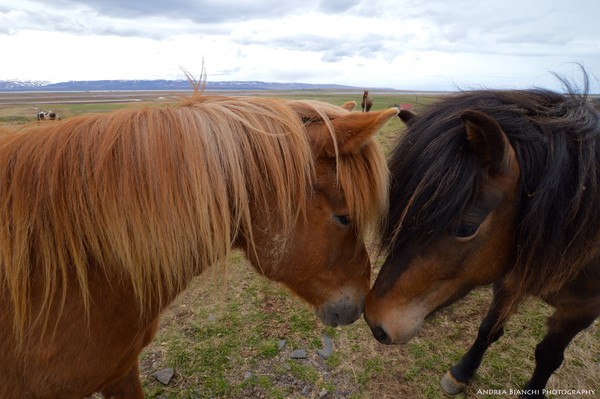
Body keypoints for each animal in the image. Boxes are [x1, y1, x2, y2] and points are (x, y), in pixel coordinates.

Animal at [364, 79, 600, 398]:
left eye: (465, 228)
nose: (375, 321)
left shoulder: (580, 310)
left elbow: (548, 356)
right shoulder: (507, 278)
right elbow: (489, 328)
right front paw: (462, 372)